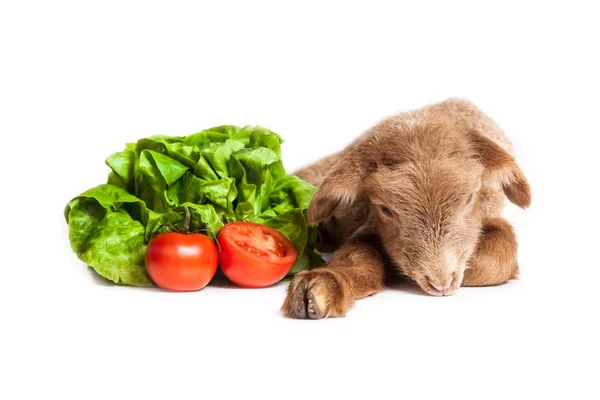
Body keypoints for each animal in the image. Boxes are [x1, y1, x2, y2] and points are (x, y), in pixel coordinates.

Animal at [282, 97, 528, 318]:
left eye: (470, 197)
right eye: (385, 209)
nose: (441, 284)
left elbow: (499, 255)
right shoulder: (369, 226)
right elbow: (355, 255)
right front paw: (322, 286)